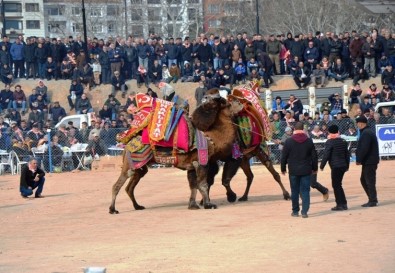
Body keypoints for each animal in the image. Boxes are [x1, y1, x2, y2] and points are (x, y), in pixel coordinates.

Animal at [109, 89, 244, 212]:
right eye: (229, 102)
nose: (241, 103)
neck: (212, 139)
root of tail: (126, 145)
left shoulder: (191, 165)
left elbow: (193, 186)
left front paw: (193, 205)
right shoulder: (201, 161)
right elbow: (202, 184)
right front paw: (208, 205)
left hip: (140, 167)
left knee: (129, 187)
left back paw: (137, 206)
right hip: (130, 164)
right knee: (117, 185)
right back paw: (112, 209)